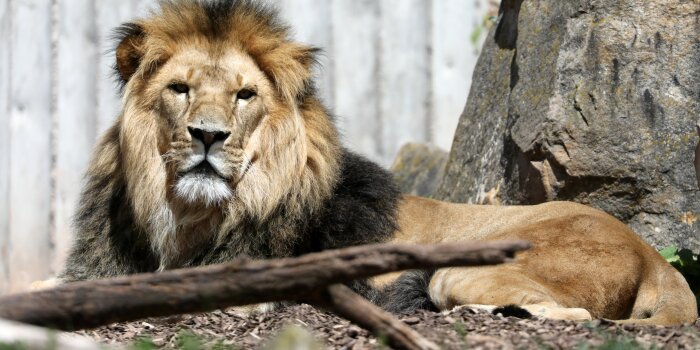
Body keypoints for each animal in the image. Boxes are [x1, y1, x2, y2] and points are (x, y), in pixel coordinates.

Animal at [57, 0, 696, 326]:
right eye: (180, 89)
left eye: (244, 96)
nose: (207, 136)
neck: (189, 219)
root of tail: (653, 259)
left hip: (460, 269)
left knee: (573, 315)